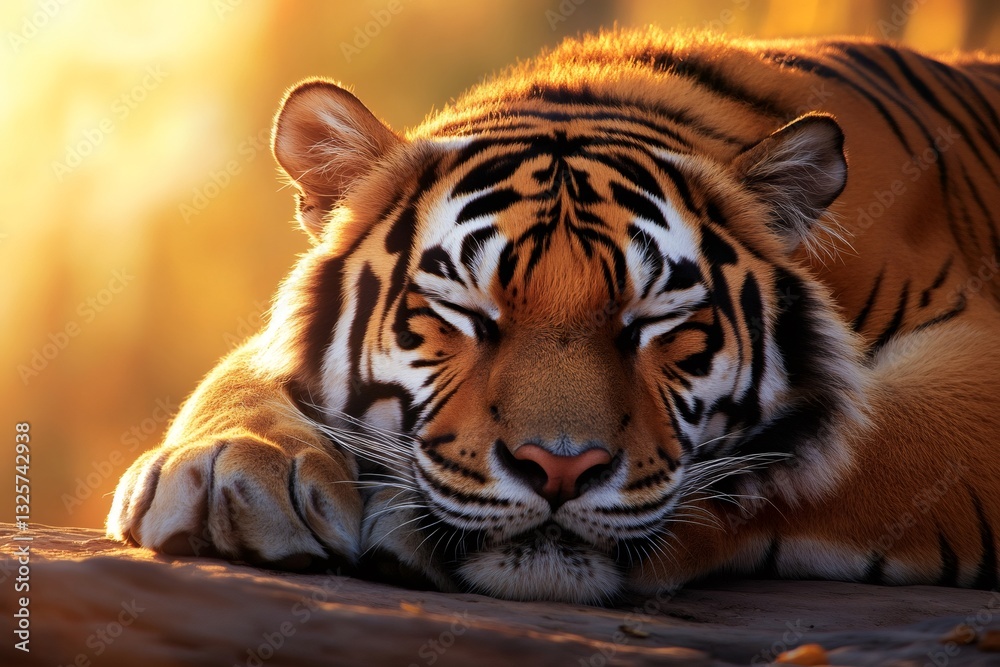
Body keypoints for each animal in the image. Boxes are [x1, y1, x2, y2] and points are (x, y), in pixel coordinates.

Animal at [108, 27, 1000, 604]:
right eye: (464, 311)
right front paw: (222, 470)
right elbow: (244, 373)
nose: (559, 468)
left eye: (656, 320)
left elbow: (799, 457)